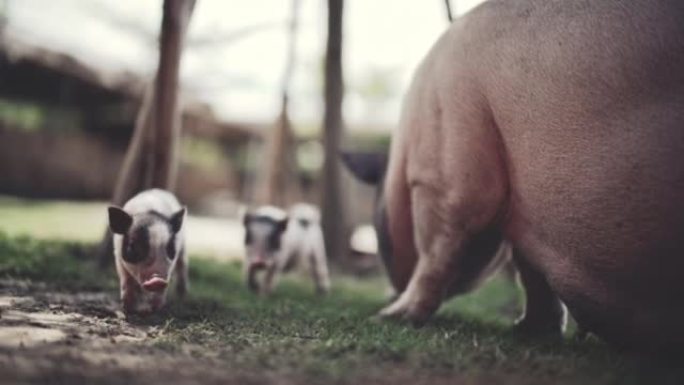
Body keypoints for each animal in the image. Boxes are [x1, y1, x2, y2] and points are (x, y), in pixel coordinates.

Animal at [344, 0, 684, 350]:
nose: (386, 297)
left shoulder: (443, 175)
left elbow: (436, 252)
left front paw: (389, 317)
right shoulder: (526, 214)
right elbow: (530, 271)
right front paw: (527, 331)